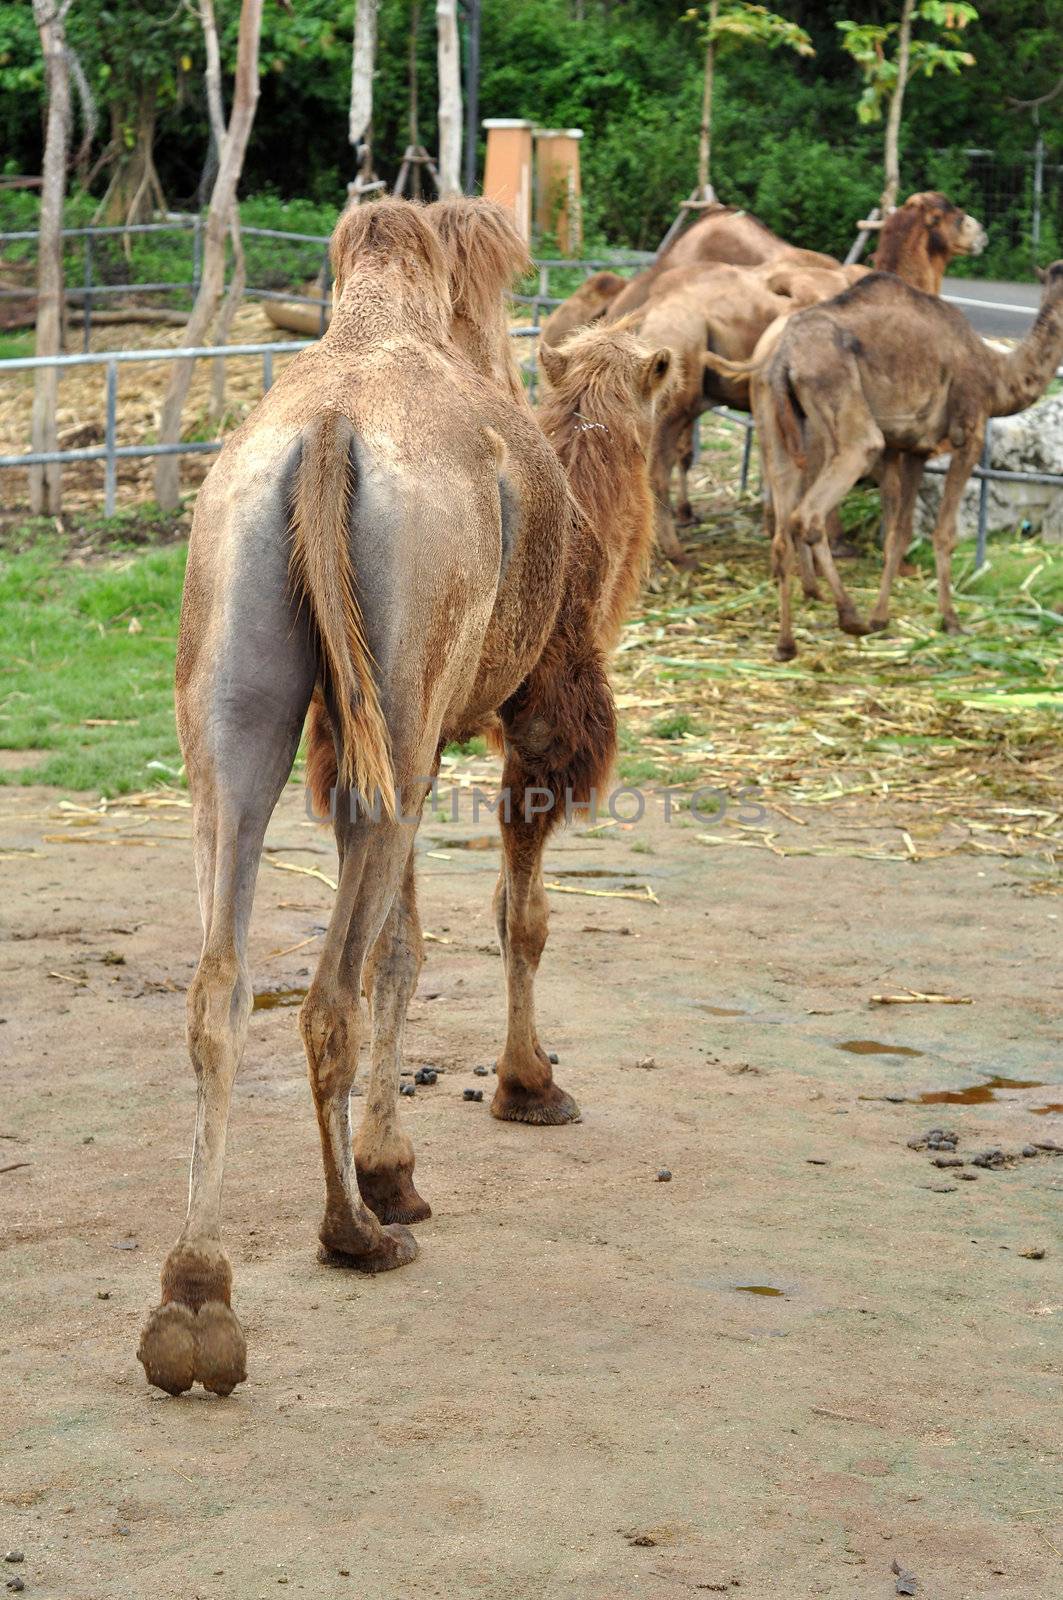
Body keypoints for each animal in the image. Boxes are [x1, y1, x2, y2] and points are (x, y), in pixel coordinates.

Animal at [130, 203, 665, 1401]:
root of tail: (328, 434)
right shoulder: (534, 715)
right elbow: (509, 920)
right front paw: (516, 1093)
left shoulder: (359, 743)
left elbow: (404, 944)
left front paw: (393, 1163)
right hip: (410, 667)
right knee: (327, 990)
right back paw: (352, 1238)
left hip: (240, 666)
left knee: (221, 982)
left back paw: (194, 1302)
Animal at [714, 262, 1063, 656]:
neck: (996, 375)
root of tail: (782, 358)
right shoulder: (969, 432)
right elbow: (944, 533)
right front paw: (951, 621)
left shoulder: (912, 448)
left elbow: (898, 532)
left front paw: (882, 617)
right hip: (847, 421)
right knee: (811, 512)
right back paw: (850, 617)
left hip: (775, 423)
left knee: (782, 525)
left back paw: (787, 644)